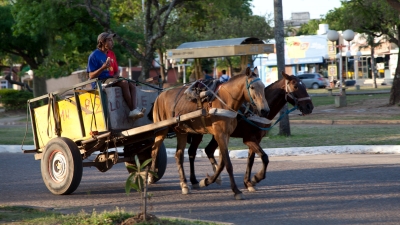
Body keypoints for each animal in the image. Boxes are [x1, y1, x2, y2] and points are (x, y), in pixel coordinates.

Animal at [149, 67, 268, 200]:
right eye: (252, 87)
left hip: (182, 131)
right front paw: (236, 190)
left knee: (179, 155)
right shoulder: (220, 134)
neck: (225, 101)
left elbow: (222, 163)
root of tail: (160, 95)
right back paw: (151, 176)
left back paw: (184, 184)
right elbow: (228, 164)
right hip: (161, 130)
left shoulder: (226, 135)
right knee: (154, 151)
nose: (265, 110)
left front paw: (207, 181)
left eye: (263, 86)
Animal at [186, 72, 314, 192]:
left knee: (208, 150)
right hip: (198, 133)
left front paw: (248, 182)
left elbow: (251, 160)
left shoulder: (256, 139)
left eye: (304, 86)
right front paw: (256, 178)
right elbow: (264, 157)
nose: (309, 107)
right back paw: (195, 180)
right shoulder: (249, 139)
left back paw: (213, 177)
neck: (256, 110)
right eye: (295, 86)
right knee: (192, 152)